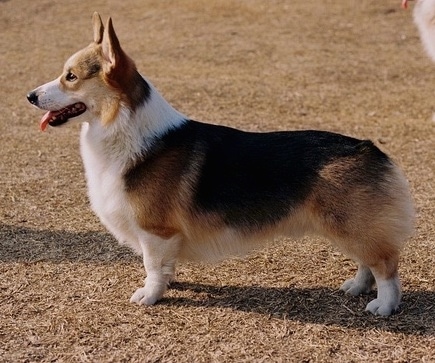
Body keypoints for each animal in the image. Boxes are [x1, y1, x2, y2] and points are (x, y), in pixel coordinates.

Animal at [26, 12, 416, 318]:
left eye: (70, 77)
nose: (29, 95)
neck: (125, 128)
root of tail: (370, 148)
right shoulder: (164, 238)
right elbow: (164, 266)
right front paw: (168, 283)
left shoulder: (155, 231)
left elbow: (151, 266)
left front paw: (150, 296)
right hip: (349, 228)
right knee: (367, 262)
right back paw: (357, 287)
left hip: (350, 227)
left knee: (386, 267)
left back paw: (384, 306)